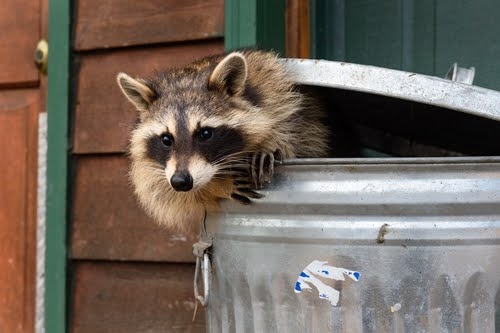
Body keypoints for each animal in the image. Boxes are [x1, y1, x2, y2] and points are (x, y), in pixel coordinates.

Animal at [115, 49, 330, 230]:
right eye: (166, 139)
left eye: (205, 134)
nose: (181, 181)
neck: (189, 79)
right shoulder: (154, 168)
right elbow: (162, 191)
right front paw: (218, 186)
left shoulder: (278, 94)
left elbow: (296, 132)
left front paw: (270, 143)